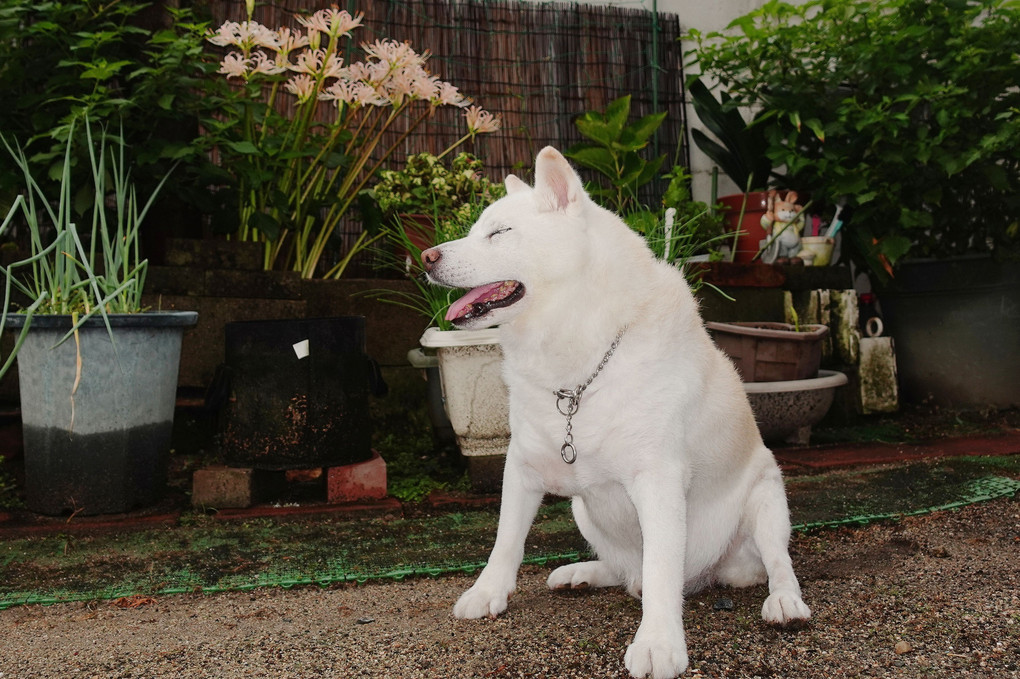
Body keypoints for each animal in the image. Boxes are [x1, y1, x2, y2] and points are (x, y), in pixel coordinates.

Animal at [418, 145, 807, 672]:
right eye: (478, 228)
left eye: (499, 232)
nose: (426, 256)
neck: (578, 369)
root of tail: (709, 575)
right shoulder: (521, 467)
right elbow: (506, 541)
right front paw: (487, 592)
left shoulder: (658, 480)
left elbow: (662, 569)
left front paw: (658, 643)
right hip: (584, 509)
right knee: (628, 571)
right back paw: (584, 572)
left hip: (767, 498)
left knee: (774, 563)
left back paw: (785, 601)